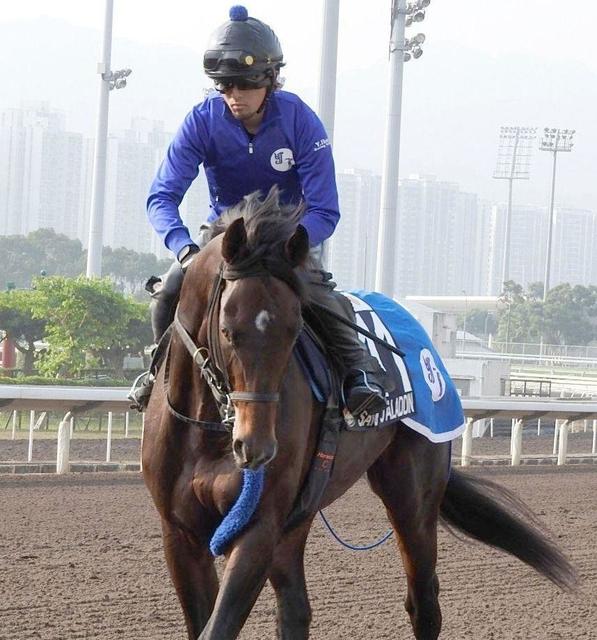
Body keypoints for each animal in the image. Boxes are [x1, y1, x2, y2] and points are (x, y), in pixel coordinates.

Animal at [142, 190, 576, 640]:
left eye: (295, 329)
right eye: (228, 330)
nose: (256, 447)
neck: (208, 428)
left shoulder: (258, 526)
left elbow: (220, 623)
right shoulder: (180, 534)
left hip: (412, 496)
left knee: (424, 601)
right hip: (299, 515)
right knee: (296, 609)